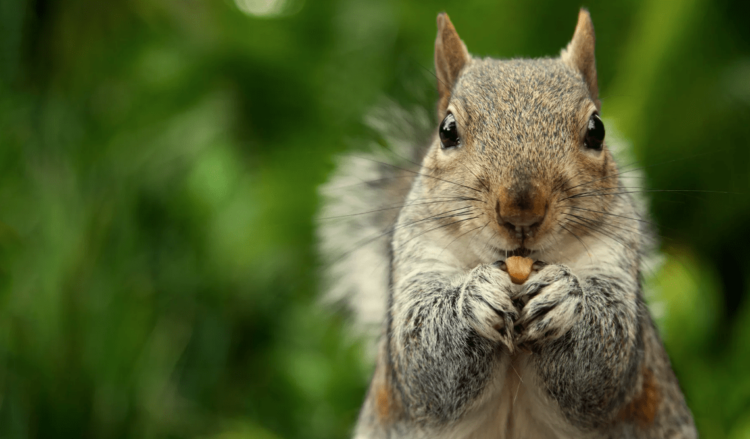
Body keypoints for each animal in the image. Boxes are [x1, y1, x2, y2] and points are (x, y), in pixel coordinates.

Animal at [318, 9, 697, 439]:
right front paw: (473, 298)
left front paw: (563, 297)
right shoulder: (419, 254)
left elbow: (605, 359)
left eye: (597, 130)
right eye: (447, 131)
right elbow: (423, 358)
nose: (521, 210)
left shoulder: (617, 256)